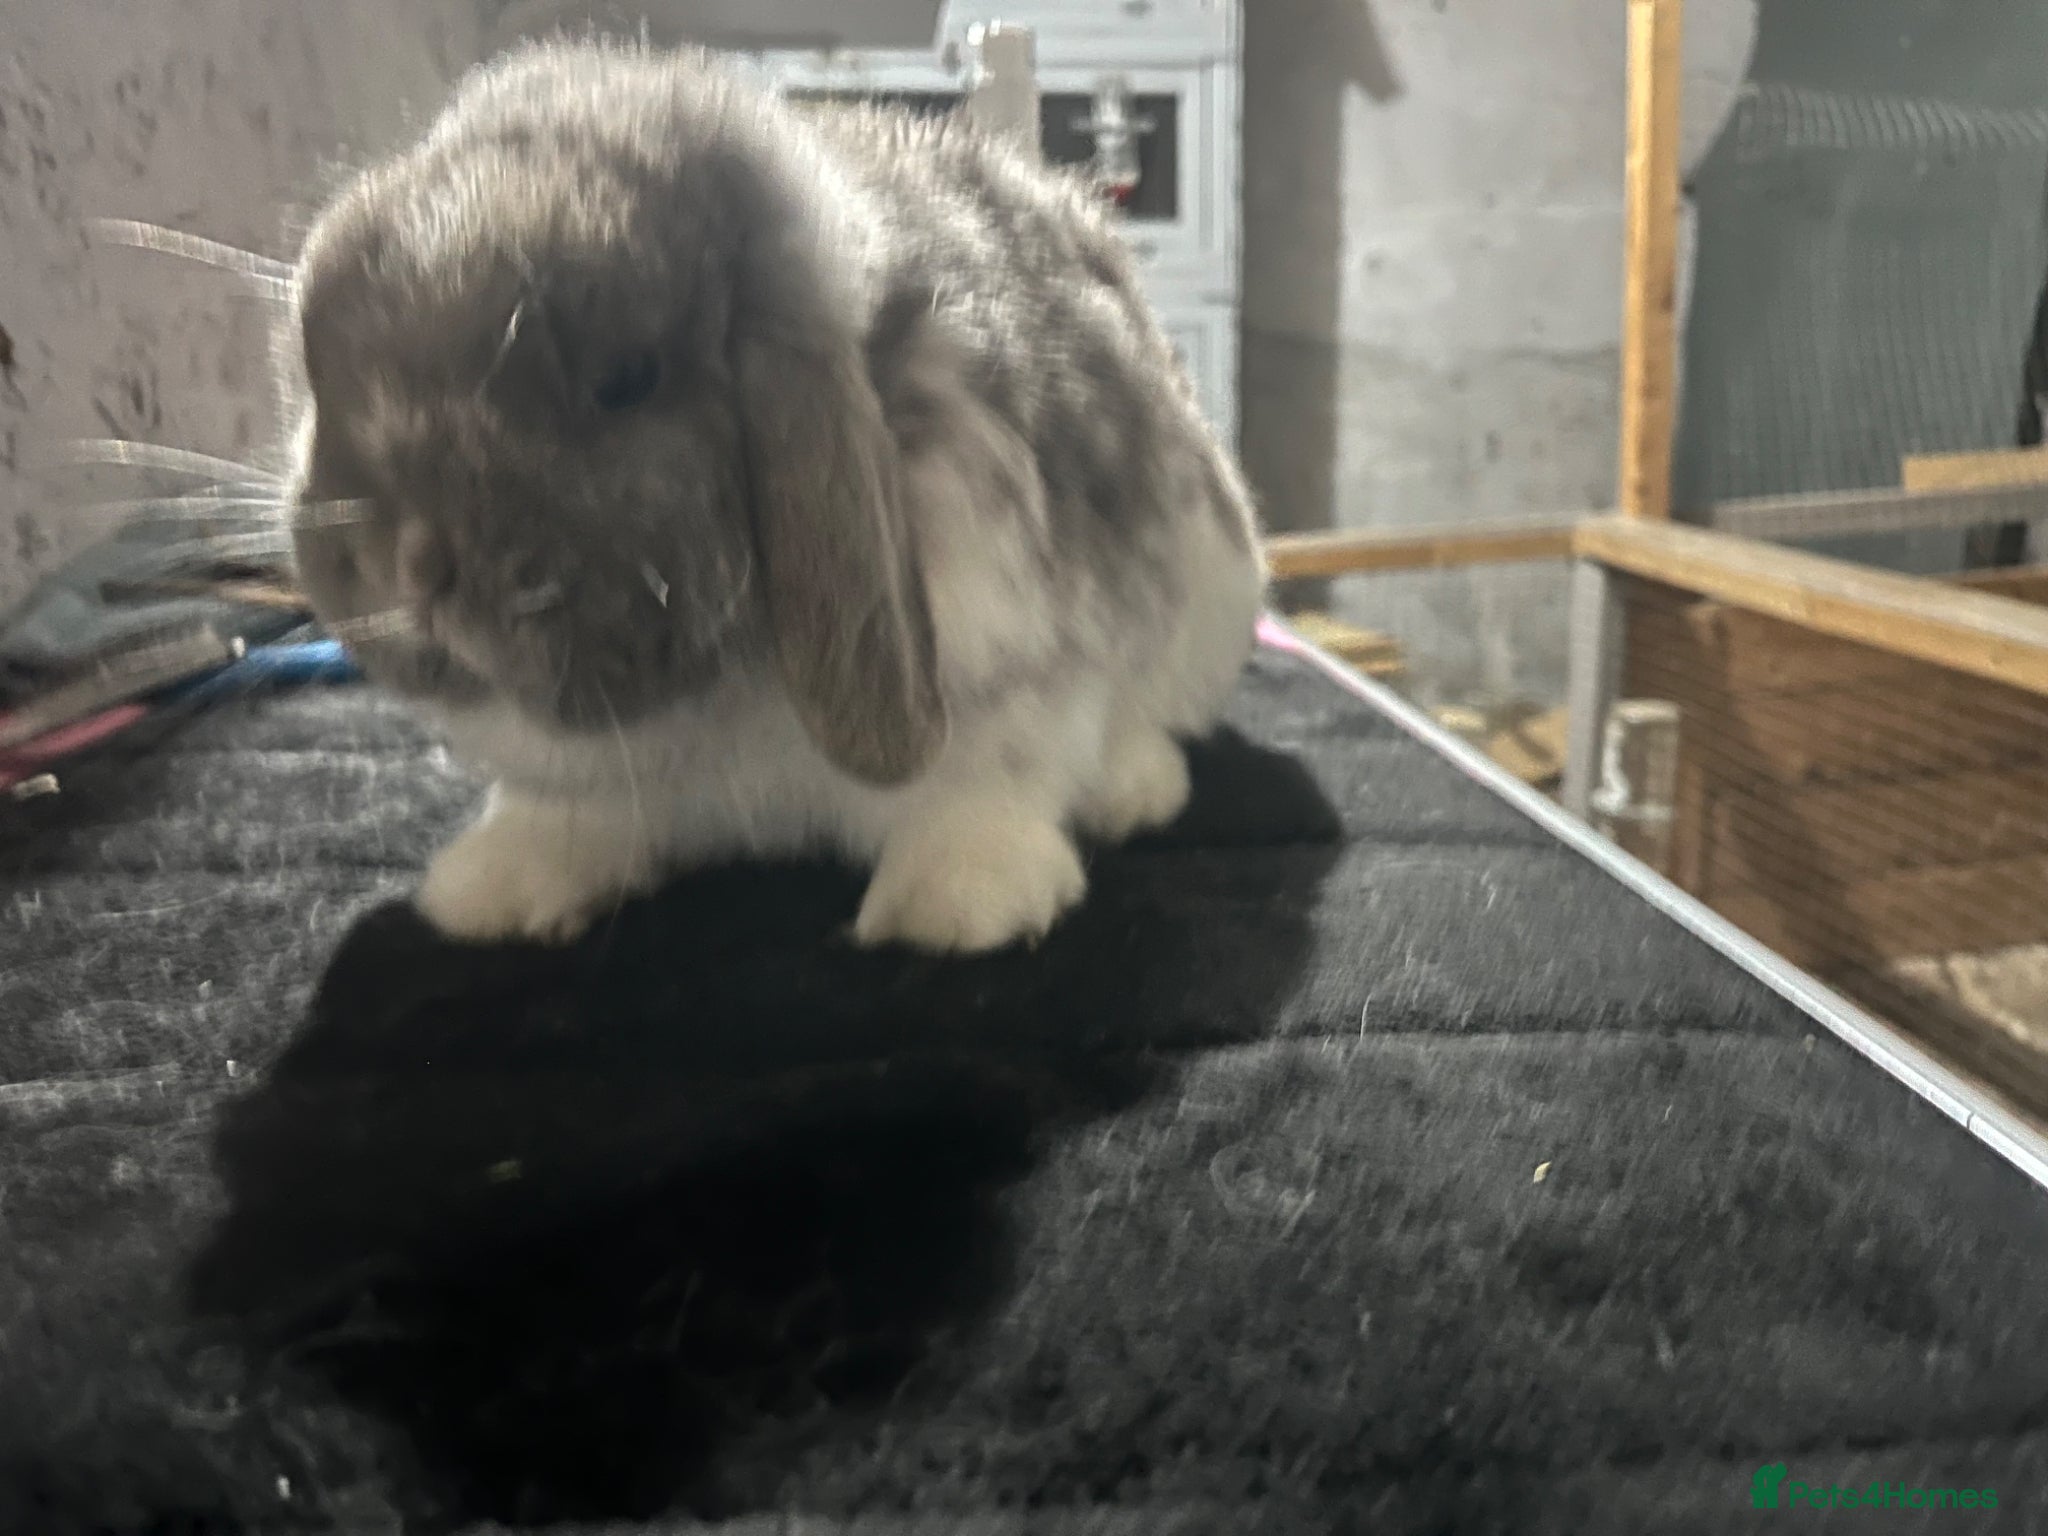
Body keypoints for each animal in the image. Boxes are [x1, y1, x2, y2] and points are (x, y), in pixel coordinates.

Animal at [283, 39, 1265, 954]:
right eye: (326, 369)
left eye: (624, 378)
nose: (408, 563)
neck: (724, 697)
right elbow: (567, 820)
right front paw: (498, 889)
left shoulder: (1019, 673)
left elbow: (987, 785)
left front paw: (961, 904)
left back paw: (1134, 789)